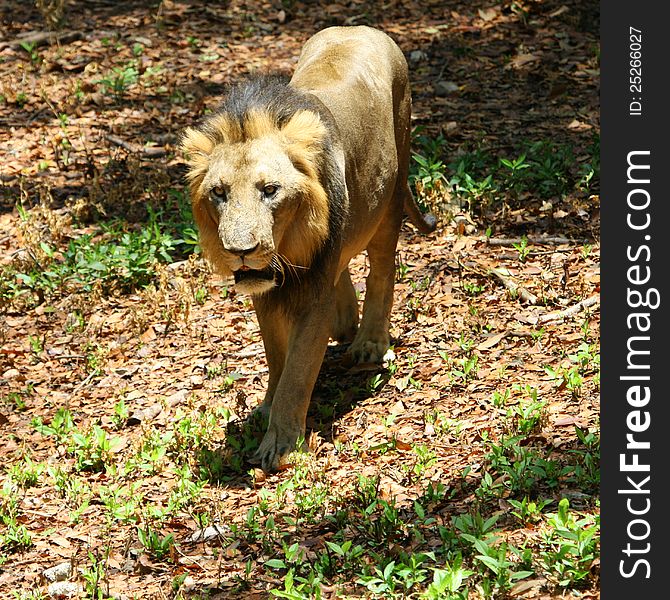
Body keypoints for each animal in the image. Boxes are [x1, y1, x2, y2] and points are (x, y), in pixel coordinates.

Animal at [181, 25, 438, 472]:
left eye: (270, 190)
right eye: (219, 192)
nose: (241, 250)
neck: (287, 252)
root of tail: (360, 27)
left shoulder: (313, 296)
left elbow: (298, 371)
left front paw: (280, 445)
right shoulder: (265, 293)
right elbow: (276, 358)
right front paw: (266, 407)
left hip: (390, 192)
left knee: (382, 268)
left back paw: (369, 342)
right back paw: (346, 321)